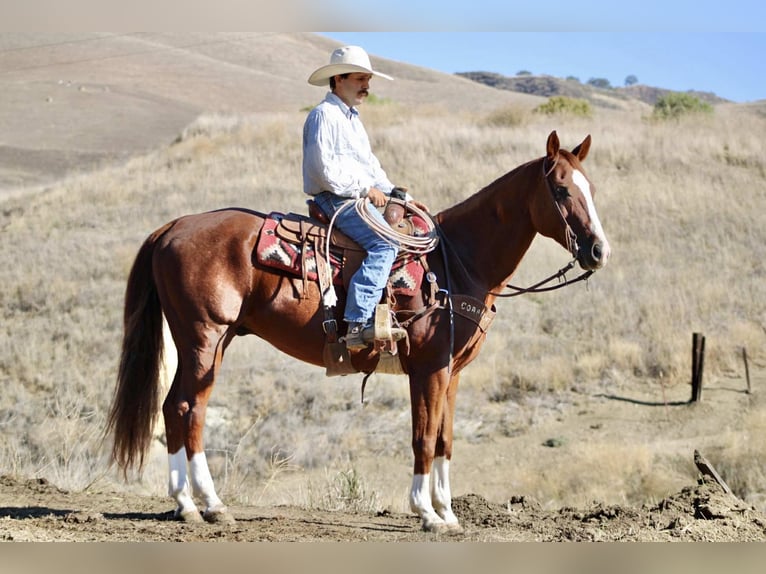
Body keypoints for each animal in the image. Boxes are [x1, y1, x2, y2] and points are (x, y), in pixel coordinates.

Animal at [106, 130, 610, 533]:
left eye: (591, 187)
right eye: (561, 189)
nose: (598, 251)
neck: (458, 260)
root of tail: (173, 226)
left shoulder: (451, 371)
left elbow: (445, 438)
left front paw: (448, 513)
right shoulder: (428, 369)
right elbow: (423, 436)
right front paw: (426, 514)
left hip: (207, 341)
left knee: (175, 407)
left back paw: (188, 505)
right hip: (204, 338)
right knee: (188, 408)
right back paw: (206, 505)